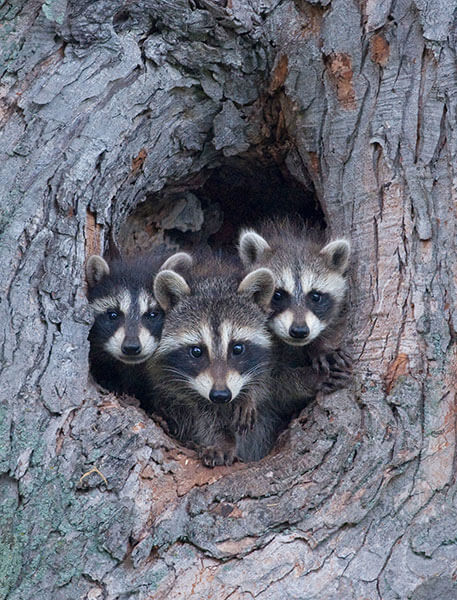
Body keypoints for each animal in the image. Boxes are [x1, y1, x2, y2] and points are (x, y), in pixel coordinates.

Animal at [151, 255, 278, 466]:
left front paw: (249, 395)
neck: (213, 277)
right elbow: (204, 415)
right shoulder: (166, 379)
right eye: (196, 351)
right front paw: (223, 439)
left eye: (237, 349)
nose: (220, 395)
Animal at [237, 218, 350, 420]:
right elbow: (273, 386)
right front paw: (308, 379)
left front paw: (323, 347)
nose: (299, 331)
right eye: (278, 294)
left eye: (315, 296)